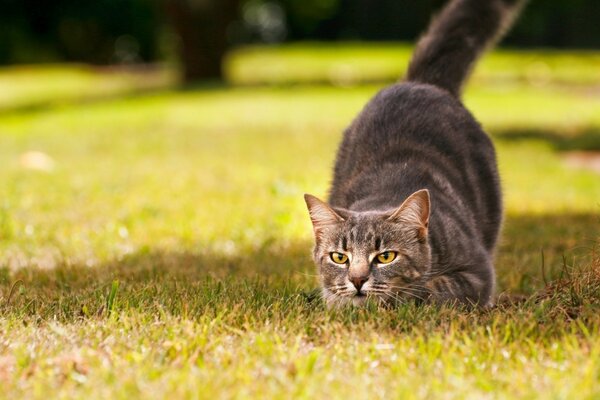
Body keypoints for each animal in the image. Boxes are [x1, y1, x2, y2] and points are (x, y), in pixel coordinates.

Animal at [304, 0, 524, 308]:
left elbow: (432, 288)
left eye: (385, 257)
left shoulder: (477, 273)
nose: (357, 280)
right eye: (339, 257)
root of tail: (421, 82)